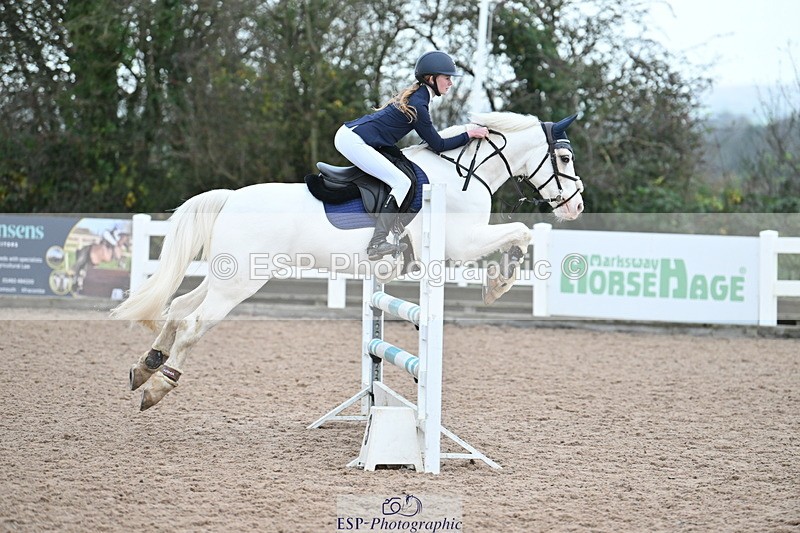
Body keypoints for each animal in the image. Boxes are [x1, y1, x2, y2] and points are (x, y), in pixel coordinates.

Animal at [111, 111, 585, 410]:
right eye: (563, 158)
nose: (577, 206)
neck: (461, 175)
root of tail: (230, 198)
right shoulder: (463, 243)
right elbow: (521, 233)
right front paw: (499, 283)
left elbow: (519, 235)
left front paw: (498, 281)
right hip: (241, 283)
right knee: (194, 323)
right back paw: (158, 387)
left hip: (226, 276)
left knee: (178, 309)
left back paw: (144, 368)